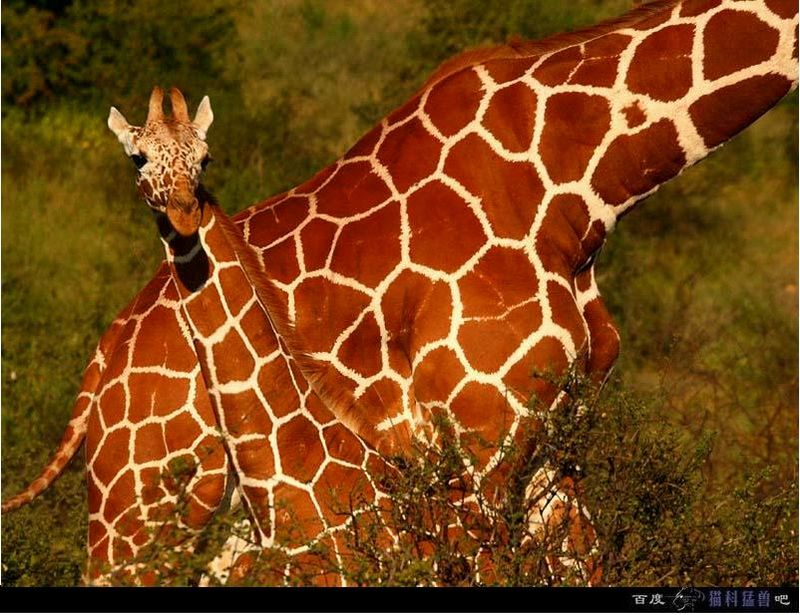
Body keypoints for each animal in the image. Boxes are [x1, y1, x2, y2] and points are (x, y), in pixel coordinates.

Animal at [3, 0, 797, 585]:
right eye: (137, 158)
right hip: (143, 502)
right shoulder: (483, 432)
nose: (180, 207)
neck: (579, 177)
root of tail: (105, 351)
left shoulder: (556, 434)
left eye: (205, 157)